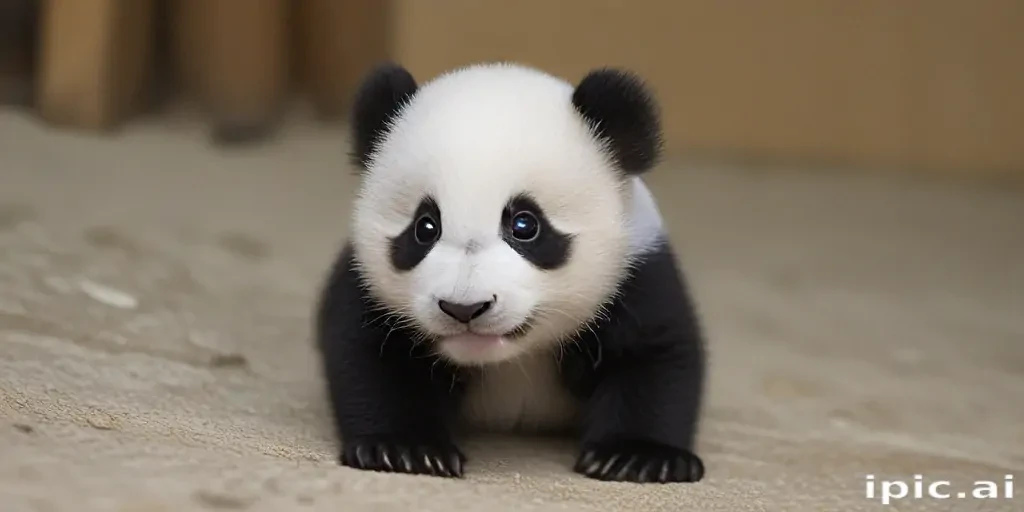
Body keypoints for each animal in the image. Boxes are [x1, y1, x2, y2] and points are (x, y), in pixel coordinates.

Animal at [315, 61, 707, 484]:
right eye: (425, 227)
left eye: (525, 225)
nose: (464, 308)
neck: (507, 359)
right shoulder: (367, 287)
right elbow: (372, 357)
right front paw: (403, 450)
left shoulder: (635, 273)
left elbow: (655, 356)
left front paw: (636, 457)